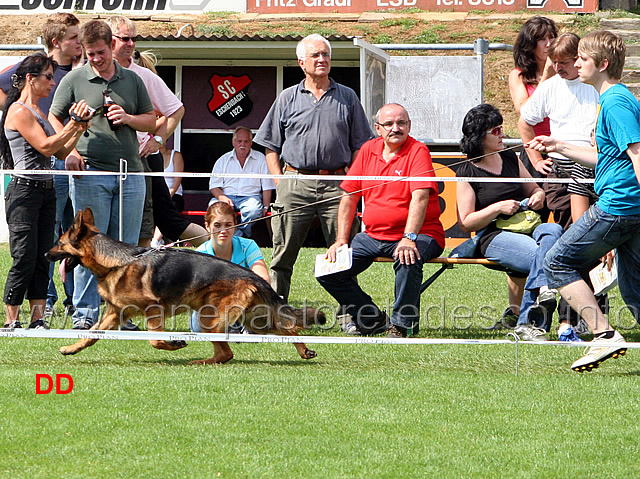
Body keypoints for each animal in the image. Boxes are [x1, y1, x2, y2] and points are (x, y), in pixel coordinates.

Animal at [46, 208, 324, 366]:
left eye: (59, 243)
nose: (46, 255)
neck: (116, 261)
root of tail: (255, 277)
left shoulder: (153, 309)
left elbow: (155, 340)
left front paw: (174, 343)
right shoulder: (115, 313)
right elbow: (91, 334)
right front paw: (71, 348)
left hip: (210, 318)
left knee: (227, 353)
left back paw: (200, 360)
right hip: (254, 321)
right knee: (286, 330)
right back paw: (304, 351)